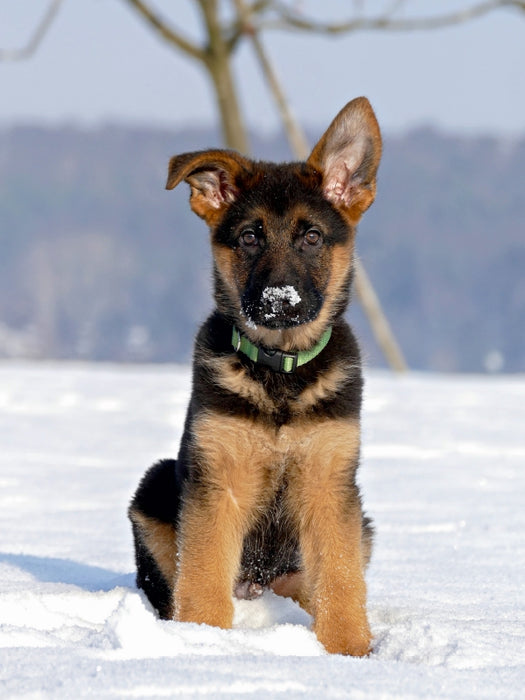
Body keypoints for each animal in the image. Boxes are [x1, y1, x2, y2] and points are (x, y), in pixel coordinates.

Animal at [127, 95, 380, 652]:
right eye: (248, 238)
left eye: (312, 237)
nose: (278, 301)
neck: (280, 373)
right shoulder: (218, 482)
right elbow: (202, 575)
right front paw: (203, 639)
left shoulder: (330, 484)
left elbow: (341, 578)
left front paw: (349, 652)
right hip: (154, 487)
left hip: (361, 527)